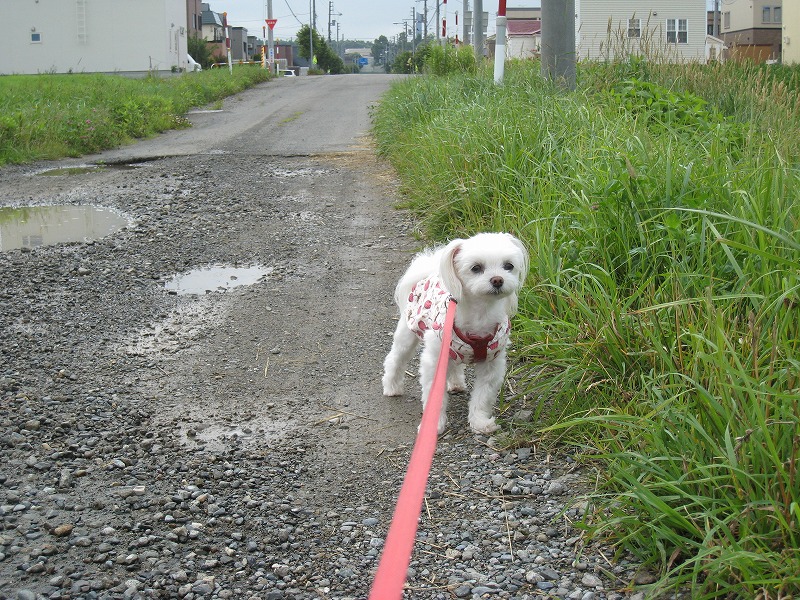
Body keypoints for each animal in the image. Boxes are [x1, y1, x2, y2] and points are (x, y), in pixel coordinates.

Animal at [382, 232, 529, 435]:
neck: (480, 313)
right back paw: (391, 387)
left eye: (509, 266)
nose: (498, 280)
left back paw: (456, 384)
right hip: (407, 334)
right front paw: (434, 425)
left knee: (454, 365)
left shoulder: (492, 364)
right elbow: (435, 396)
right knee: (395, 359)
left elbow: (483, 396)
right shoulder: (434, 361)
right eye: (476, 268)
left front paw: (480, 422)